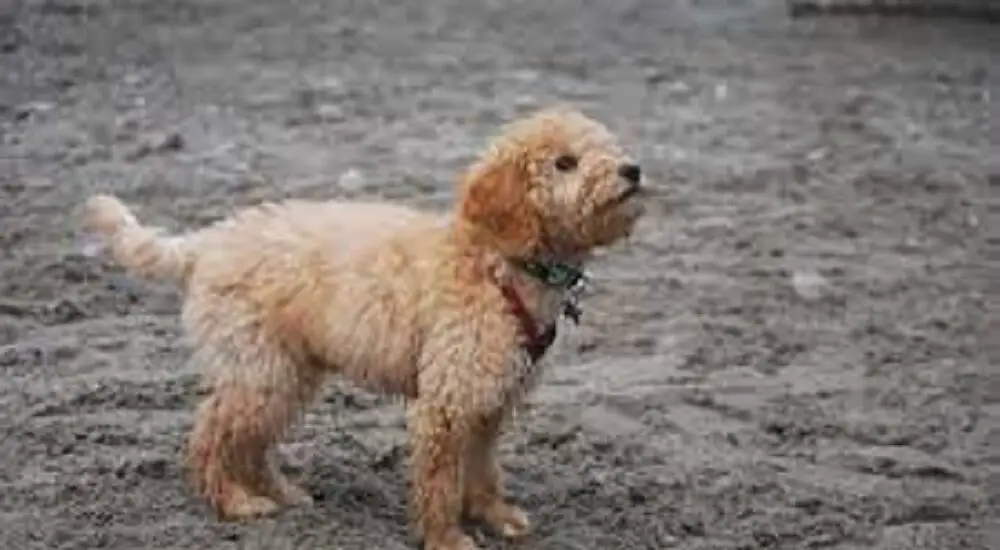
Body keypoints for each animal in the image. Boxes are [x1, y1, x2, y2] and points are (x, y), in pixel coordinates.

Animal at [80, 105, 648, 548]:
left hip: (286, 371)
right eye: (564, 163)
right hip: (260, 368)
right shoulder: (447, 399)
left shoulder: (490, 399)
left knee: (251, 442)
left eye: (606, 146)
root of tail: (207, 243)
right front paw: (447, 538)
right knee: (211, 435)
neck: (497, 262)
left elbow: (483, 469)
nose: (633, 170)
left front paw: (495, 517)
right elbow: (440, 480)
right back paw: (235, 503)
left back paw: (281, 493)